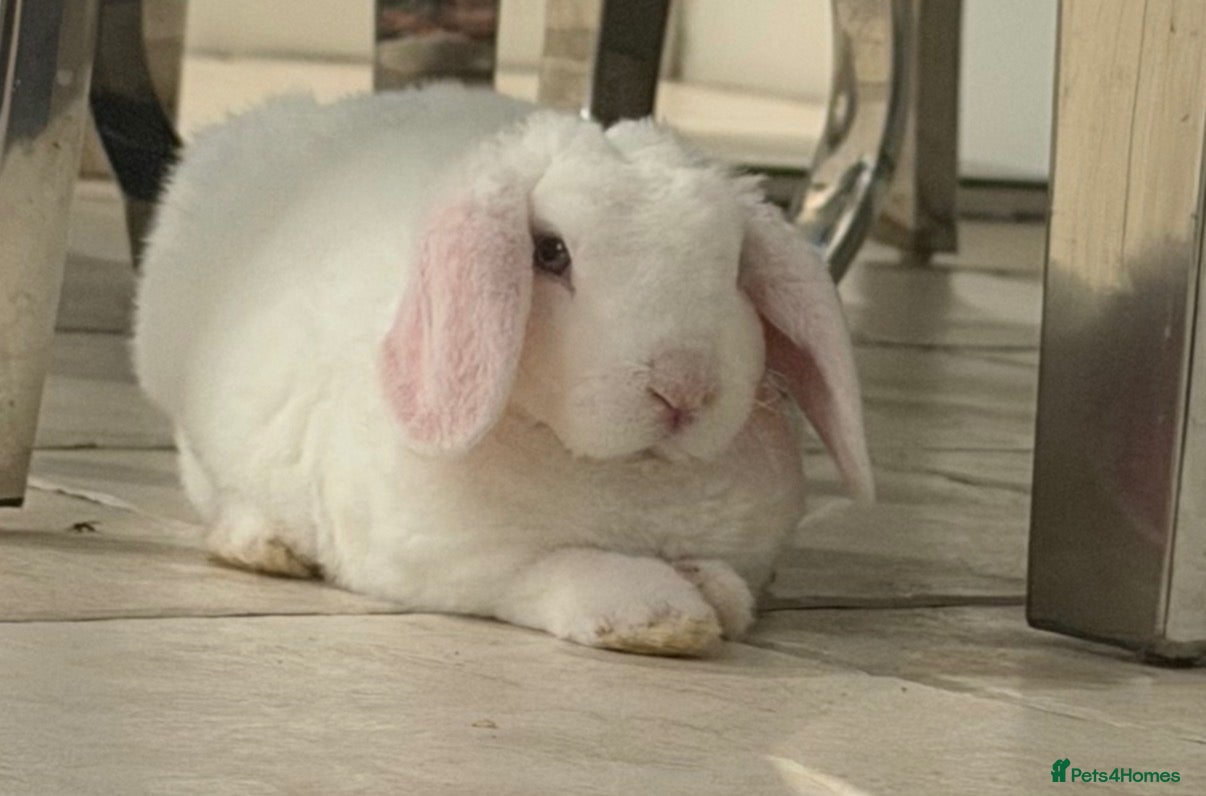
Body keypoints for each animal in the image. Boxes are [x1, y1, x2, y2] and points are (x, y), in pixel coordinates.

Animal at [133, 83, 873, 657]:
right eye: (550, 252)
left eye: (736, 266)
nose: (684, 388)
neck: (629, 471)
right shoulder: (459, 565)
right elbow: (556, 567)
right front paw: (659, 617)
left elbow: (730, 581)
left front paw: (710, 592)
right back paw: (265, 544)